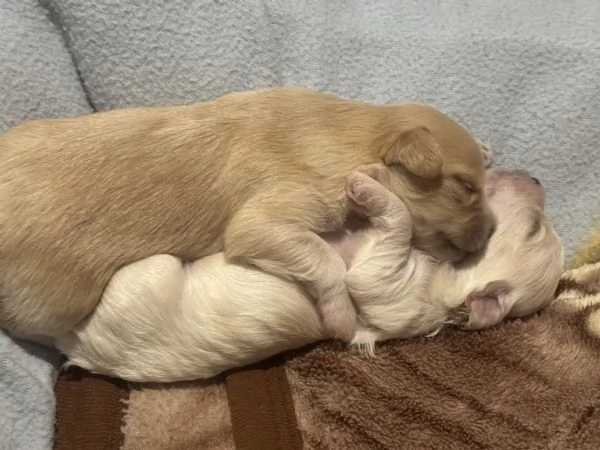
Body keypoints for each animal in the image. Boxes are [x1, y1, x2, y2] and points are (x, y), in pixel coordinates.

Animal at [0, 88, 494, 342]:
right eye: (465, 187)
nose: (492, 230)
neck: (351, 135)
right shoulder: (262, 222)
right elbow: (326, 261)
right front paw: (340, 317)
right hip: (52, 305)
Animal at [54, 171, 564, 382]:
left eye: (534, 230)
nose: (540, 178)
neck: (446, 278)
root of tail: (79, 352)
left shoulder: (394, 289)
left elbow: (388, 239)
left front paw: (369, 188)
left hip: (147, 273)